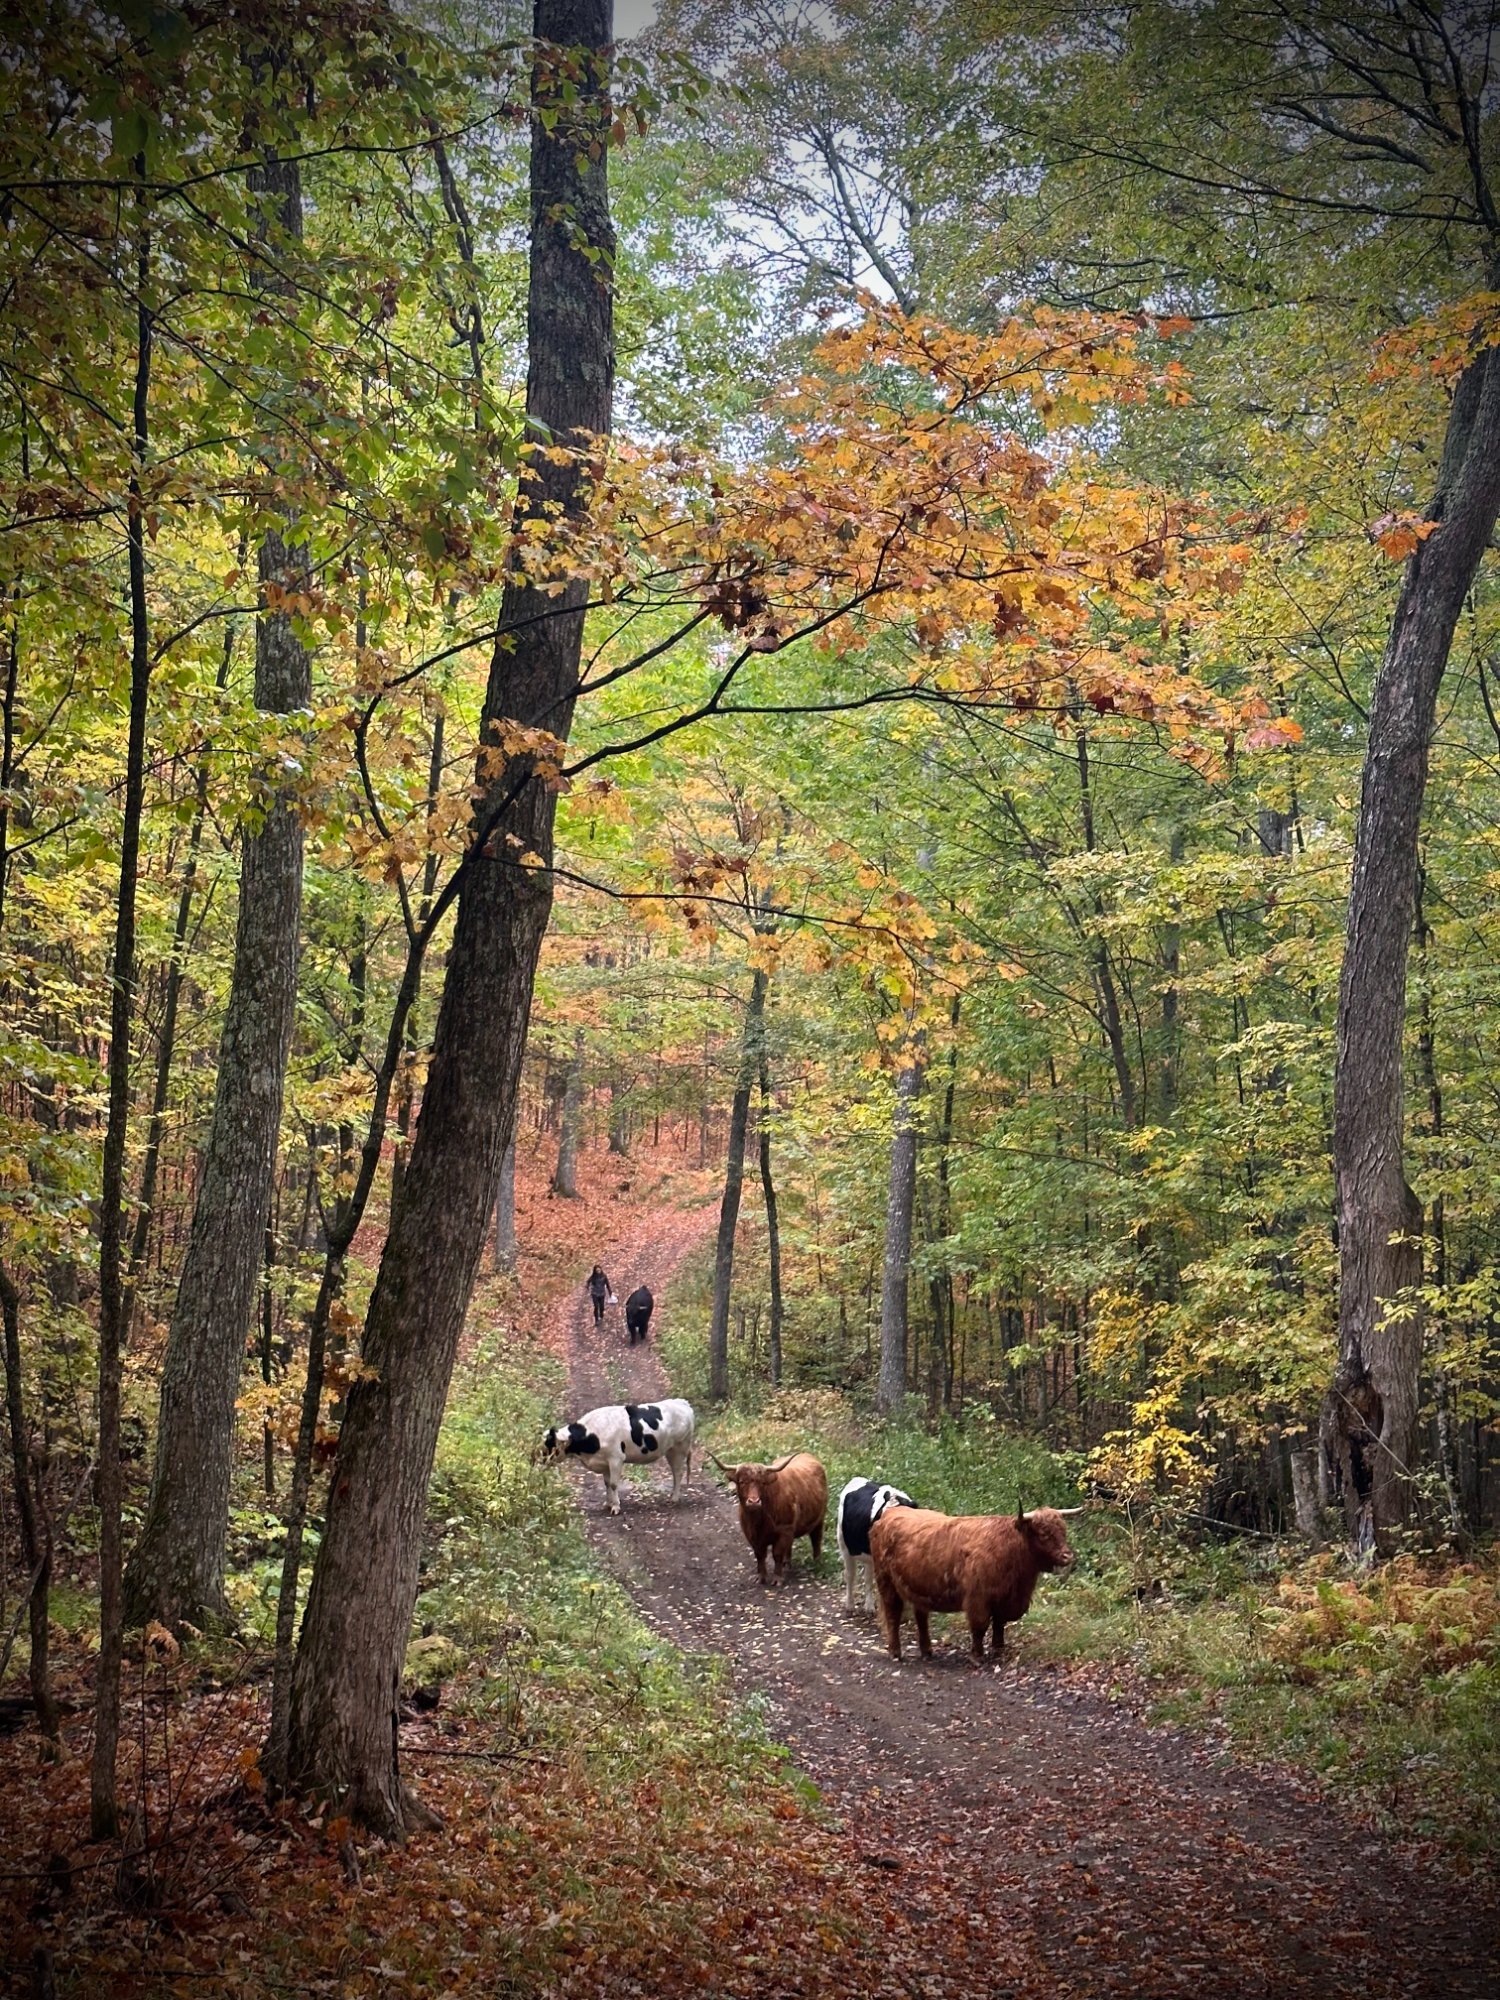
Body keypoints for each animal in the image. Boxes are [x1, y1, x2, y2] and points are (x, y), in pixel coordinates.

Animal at [541, 1398, 694, 1515]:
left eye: (550, 1445)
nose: (541, 1462)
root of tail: (682, 1402)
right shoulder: (604, 1462)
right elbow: (607, 1483)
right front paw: (608, 1504)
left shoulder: (616, 1459)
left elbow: (614, 1484)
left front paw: (615, 1507)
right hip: (671, 1450)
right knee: (676, 1473)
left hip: (679, 1448)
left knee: (678, 1473)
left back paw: (674, 1498)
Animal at [710, 1450, 828, 1585]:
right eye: (742, 1481)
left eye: (762, 1483)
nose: (754, 1501)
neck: (759, 1521)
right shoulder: (751, 1535)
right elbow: (760, 1555)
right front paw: (761, 1577)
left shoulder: (784, 1530)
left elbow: (777, 1554)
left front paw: (777, 1578)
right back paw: (787, 1563)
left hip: (819, 1520)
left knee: (816, 1539)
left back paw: (817, 1562)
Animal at [836, 1476, 916, 1613]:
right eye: (881, 1517)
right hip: (845, 1547)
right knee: (851, 1576)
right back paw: (851, 1605)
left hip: (869, 1558)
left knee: (867, 1578)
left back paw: (868, 1607)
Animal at [869, 1502, 1080, 1662]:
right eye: (1044, 1534)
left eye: (1063, 1531)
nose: (1067, 1556)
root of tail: (889, 1514)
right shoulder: (978, 1598)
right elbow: (980, 1625)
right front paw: (977, 1655)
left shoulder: (1004, 1600)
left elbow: (999, 1624)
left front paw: (998, 1648)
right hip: (886, 1582)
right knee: (893, 1614)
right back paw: (895, 1652)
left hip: (919, 1588)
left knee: (921, 1617)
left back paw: (927, 1651)